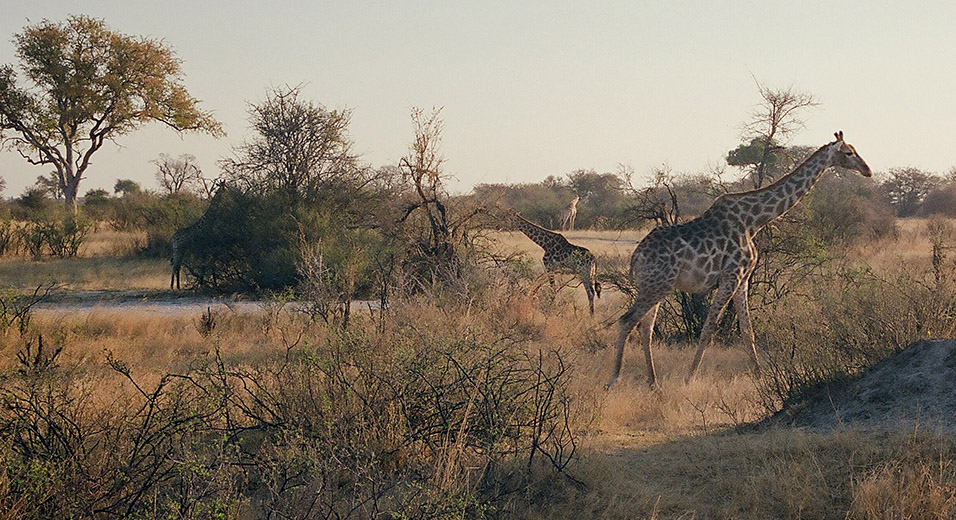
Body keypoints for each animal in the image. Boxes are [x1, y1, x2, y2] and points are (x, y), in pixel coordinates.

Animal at [608, 132, 872, 388]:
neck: (754, 221)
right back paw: (614, 380)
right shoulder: (731, 276)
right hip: (656, 286)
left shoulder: (743, 278)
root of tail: (636, 257)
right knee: (627, 321)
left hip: (658, 286)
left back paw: (654, 383)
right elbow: (709, 328)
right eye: (849, 152)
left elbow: (747, 329)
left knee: (646, 328)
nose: (867, 170)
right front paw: (689, 378)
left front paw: (760, 376)